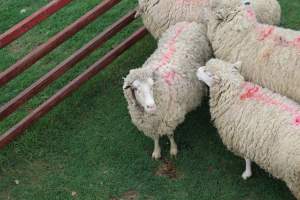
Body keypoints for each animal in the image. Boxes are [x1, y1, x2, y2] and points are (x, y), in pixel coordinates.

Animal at [122, 21, 211, 159]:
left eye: (152, 85)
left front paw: (173, 149)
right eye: (135, 89)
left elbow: (170, 134)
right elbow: (155, 137)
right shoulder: (151, 124)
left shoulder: (169, 117)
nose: (151, 106)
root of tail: (189, 22)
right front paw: (156, 151)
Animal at [196, 58, 300, 199]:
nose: (196, 70)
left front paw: (247, 173)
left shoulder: (241, 137)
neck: (234, 95)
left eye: (207, 72)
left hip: (295, 178)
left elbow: (246, 158)